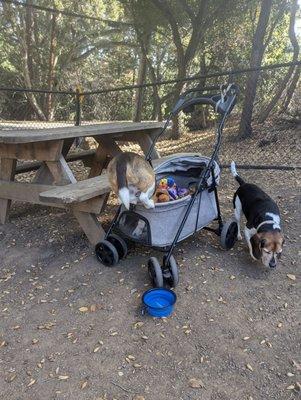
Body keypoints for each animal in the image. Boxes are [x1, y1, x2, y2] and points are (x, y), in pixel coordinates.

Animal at [95, 83, 239, 288]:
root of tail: (124, 159)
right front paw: (164, 273)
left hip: (118, 183)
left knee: (128, 200)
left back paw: (108, 246)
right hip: (149, 181)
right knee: (143, 195)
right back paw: (148, 204)